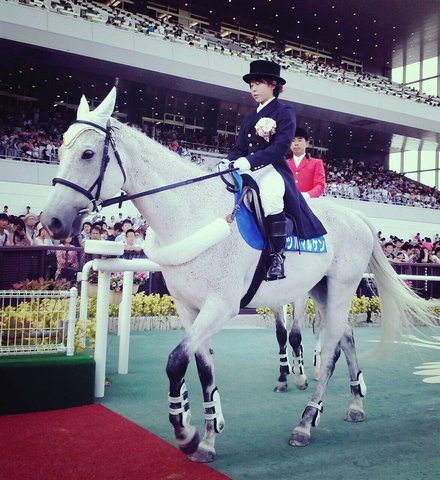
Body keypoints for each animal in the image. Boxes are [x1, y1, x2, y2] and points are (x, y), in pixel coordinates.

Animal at [41, 90, 436, 462]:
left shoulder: (221, 306)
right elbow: (203, 368)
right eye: (59, 148)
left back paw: (306, 422)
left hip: (339, 288)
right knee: (347, 338)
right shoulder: (189, 308)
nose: (52, 221)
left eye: (87, 154)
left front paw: (186, 433)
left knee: (332, 351)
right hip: (321, 290)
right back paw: (355, 404)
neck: (191, 213)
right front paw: (207, 435)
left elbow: (176, 361)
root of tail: (356, 216)